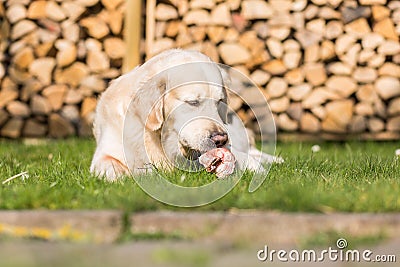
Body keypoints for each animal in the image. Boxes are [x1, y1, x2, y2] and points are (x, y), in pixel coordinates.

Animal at [90, 49, 282, 181]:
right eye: (193, 102)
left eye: (219, 101)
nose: (220, 139)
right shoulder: (105, 151)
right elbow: (108, 164)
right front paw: (120, 176)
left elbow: (246, 160)